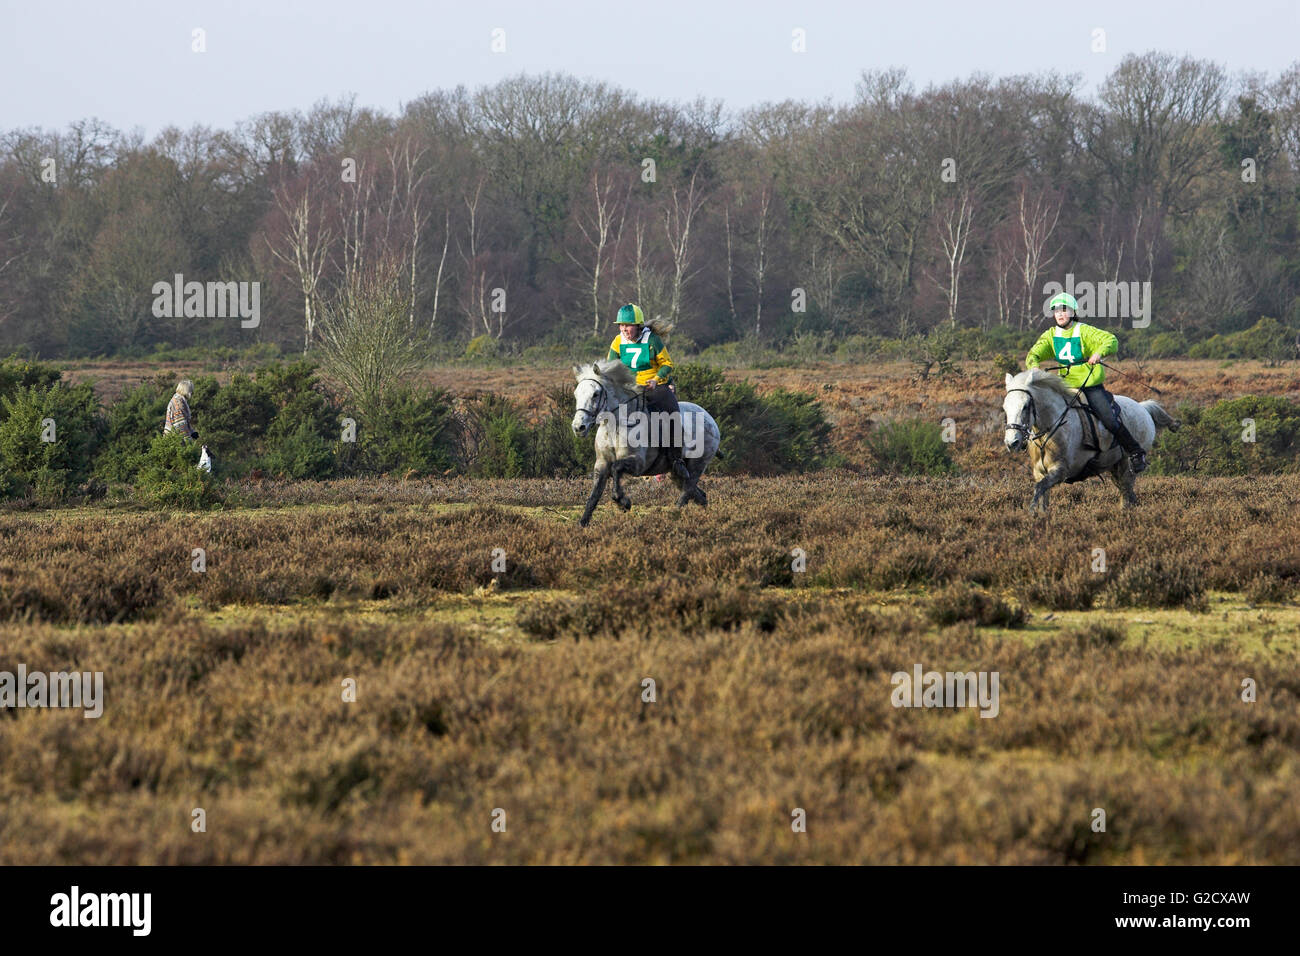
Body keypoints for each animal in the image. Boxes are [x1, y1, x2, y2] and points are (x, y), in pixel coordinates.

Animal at [569, 358, 722, 528]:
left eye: (595, 394)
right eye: (576, 394)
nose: (578, 427)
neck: (616, 426)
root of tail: (710, 418)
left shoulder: (638, 463)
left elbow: (616, 468)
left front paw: (623, 502)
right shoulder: (601, 464)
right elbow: (594, 495)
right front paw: (582, 523)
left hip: (698, 464)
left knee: (687, 491)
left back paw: (674, 515)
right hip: (677, 473)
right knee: (698, 494)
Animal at [1003, 369, 1180, 515]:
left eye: (1026, 406)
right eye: (1005, 407)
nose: (1012, 442)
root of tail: (1143, 407)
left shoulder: (1061, 470)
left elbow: (1038, 489)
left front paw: (1031, 513)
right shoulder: (1039, 472)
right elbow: (1042, 496)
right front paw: (1040, 516)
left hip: (1126, 465)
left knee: (1127, 491)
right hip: (1115, 467)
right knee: (1126, 494)